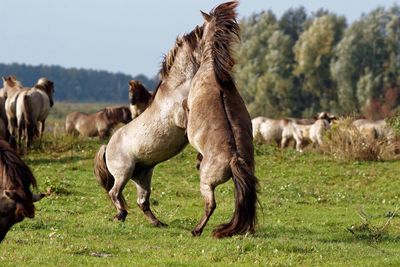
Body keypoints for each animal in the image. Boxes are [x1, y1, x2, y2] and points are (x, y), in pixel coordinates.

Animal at [94, 25, 203, 228]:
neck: (177, 89)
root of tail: (107, 147)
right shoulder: (183, 120)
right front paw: (200, 160)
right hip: (124, 173)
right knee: (115, 193)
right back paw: (121, 215)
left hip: (142, 176)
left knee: (142, 202)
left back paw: (158, 223)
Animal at [186, 0, 258, 239]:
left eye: (201, 29)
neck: (213, 73)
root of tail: (234, 157)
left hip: (206, 183)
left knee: (211, 205)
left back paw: (197, 230)